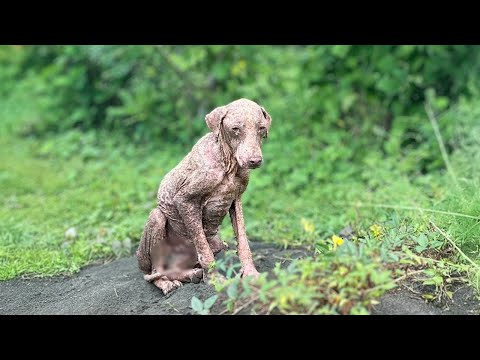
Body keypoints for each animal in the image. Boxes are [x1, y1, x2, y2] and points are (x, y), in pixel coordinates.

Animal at [135, 99, 272, 296]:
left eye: (261, 128)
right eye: (235, 129)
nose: (254, 161)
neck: (227, 162)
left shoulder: (236, 200)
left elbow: (243, 243)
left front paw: (251, 274)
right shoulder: (185, 200)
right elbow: (204, 250)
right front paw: (216, 280)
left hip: (217, 243)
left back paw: (192, 274)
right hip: (157, 220)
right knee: (154, 273)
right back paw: (168, 283)